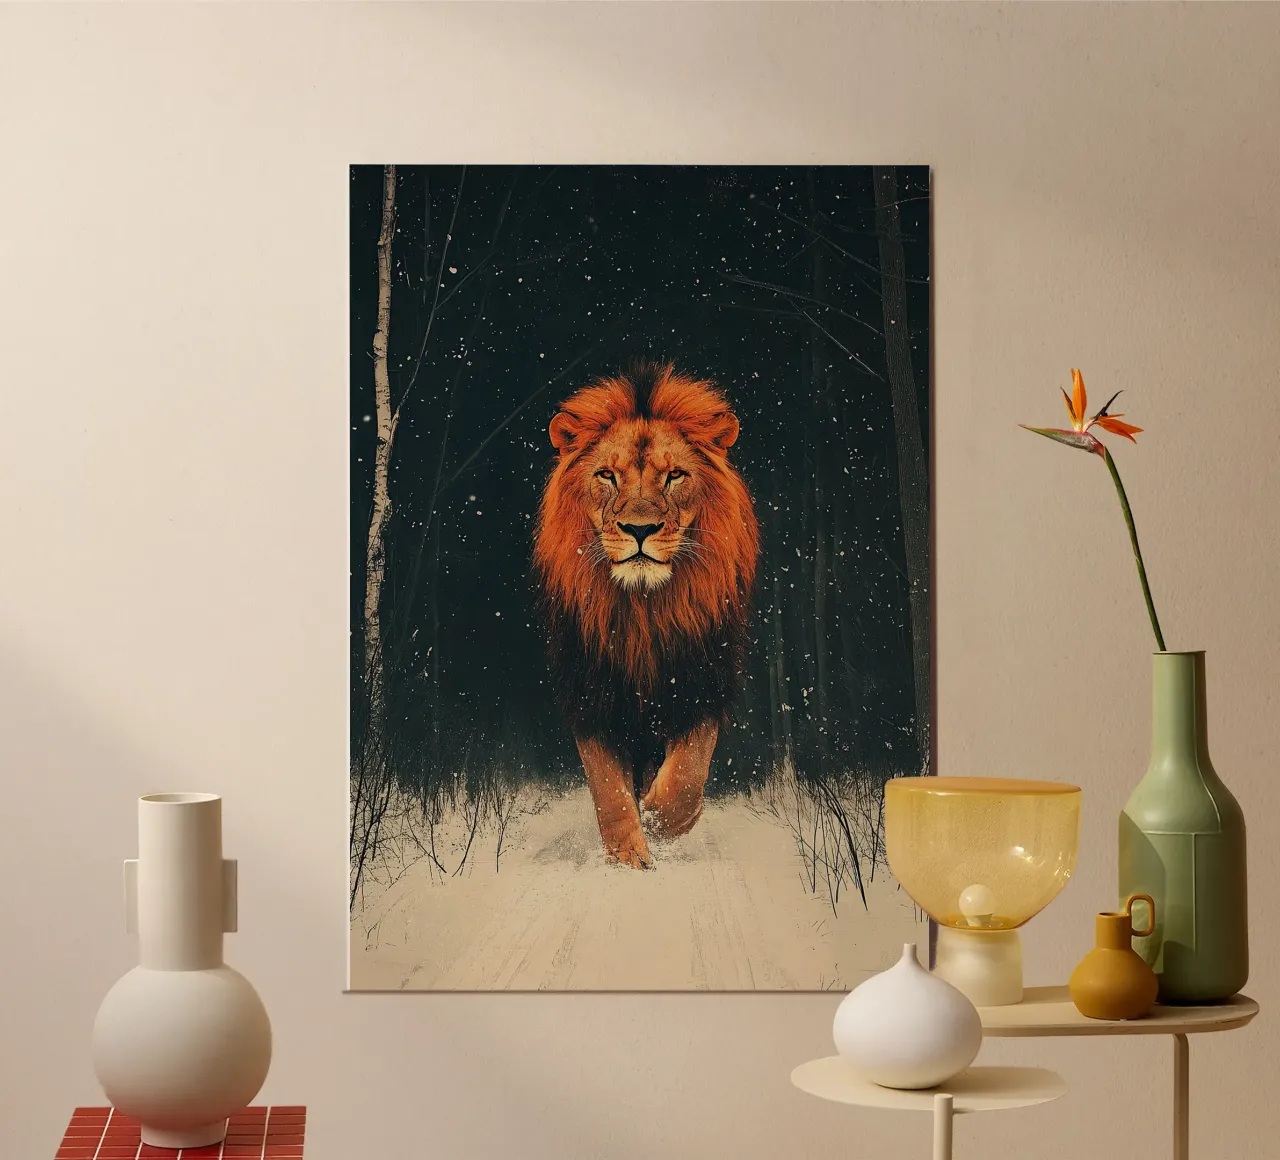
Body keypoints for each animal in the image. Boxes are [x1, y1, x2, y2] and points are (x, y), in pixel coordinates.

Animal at [533, 361, 759, 869]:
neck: (643, 611)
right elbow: (607, 789)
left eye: (675, 476)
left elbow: (688, 773)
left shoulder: (701, 680)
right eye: (607, 476)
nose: (640, 529)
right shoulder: (590, 690)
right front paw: (627, 855)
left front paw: (662, 820)